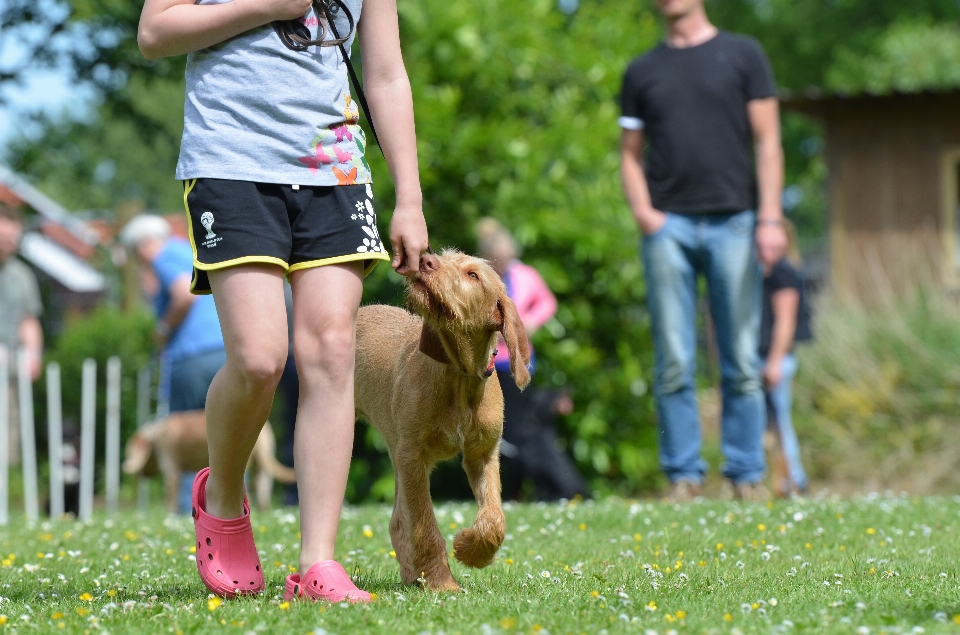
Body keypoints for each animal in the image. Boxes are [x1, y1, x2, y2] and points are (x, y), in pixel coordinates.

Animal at [124, 410, 296, 516]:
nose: (139, 476)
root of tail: (265, 430)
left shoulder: (172, 468)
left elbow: (171, 497)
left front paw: (170, 515)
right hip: (262, 467)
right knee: (262, 496)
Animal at [354, 248, 532, 592]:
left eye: (473, 275)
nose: (425, 260)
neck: (458, 376)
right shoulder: (413, 457)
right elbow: (425, 526)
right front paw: (441, 582)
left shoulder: (482, 455)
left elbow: (495, 518)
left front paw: (471, 550)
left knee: (398, 521)